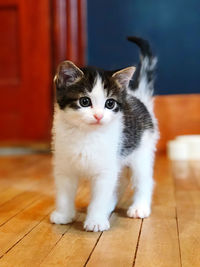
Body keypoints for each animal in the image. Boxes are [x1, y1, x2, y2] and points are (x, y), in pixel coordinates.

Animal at [50, 36, 159, 232]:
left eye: (110, 104)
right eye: (85, 101)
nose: (99, 116)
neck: (85, 135)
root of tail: (136, 96)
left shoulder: (105, 169)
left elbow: (100, 196)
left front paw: (96, 220)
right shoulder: (64, 166)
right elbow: (64, 192)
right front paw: (63, 215)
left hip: (141, 151)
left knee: (144, 180)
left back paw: (139, 207)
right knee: (120, 182)